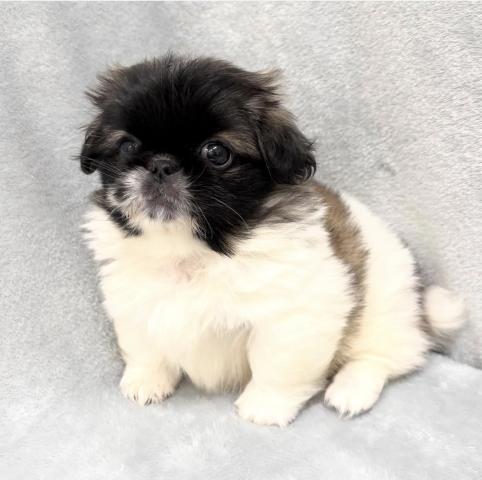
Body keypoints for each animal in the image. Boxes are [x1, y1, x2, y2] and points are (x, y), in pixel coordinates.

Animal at [80, 54, 465, 426]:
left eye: (216, 152)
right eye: (127, 145)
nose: (161, 164)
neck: (194, 248)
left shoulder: (291, 319)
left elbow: (276, 369)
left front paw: (264, 408)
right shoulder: (132, 303)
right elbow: (145, 349)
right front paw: (146, 382)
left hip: (387, 312)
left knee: (383, 356)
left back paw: (350, 391)